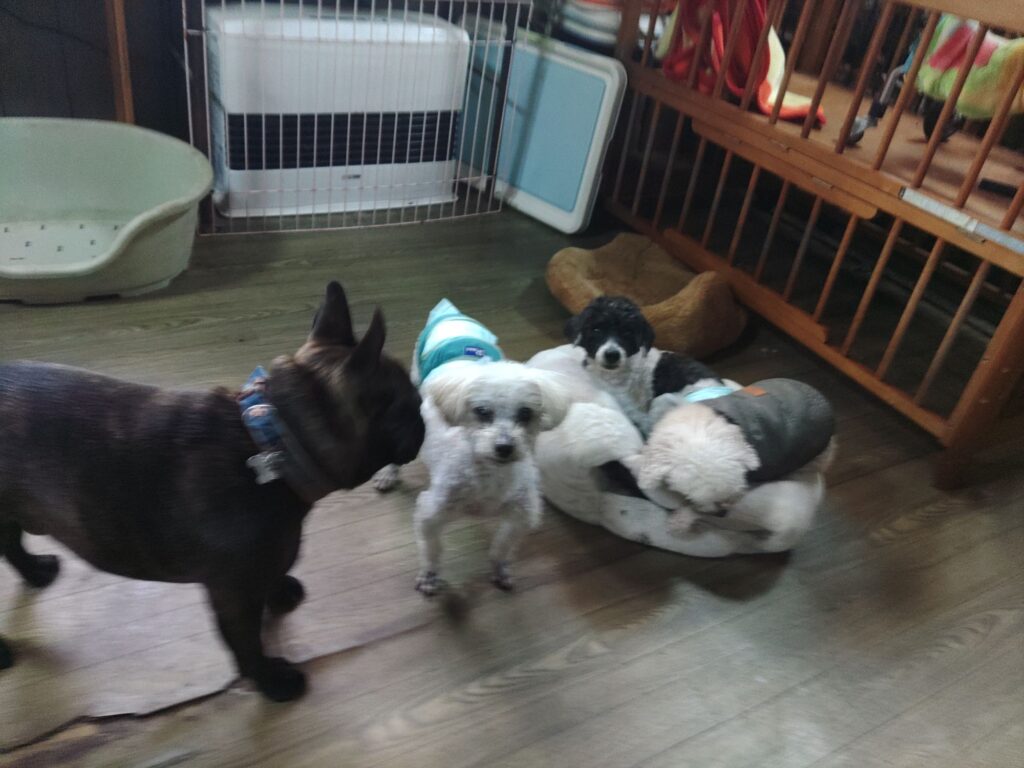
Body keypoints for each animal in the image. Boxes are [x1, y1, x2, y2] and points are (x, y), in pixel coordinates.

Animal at [0, 282, 424, 701]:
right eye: (413, 405)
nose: (424, 421)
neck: (275, 444)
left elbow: (272, 576)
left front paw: (280, 590)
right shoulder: (232, 594)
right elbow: (247, 644)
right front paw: (271, 681)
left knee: (10, 544)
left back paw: (36, 571)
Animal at [374, 300, 568, 595]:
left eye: (525, 413)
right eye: (481, 411)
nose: (504, 447)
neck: (489, 474)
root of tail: (450, 314)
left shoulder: (521, 513)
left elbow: (504, 545)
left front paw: (500, 569)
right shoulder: (432, 512)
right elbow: (432, 549)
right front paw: (430, 576)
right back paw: (388, 473)